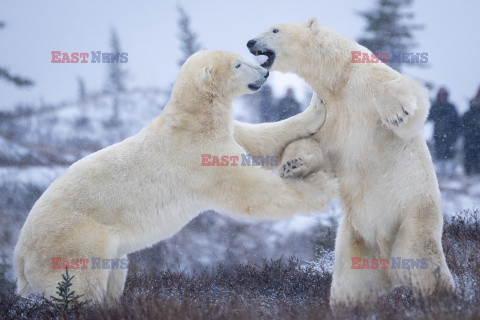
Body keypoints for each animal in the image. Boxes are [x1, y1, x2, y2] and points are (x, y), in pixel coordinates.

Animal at [14, 50, 338, 304]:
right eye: (238, 64)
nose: (265, 71)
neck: (191, 120)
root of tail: (19, 256)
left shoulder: (222, 133)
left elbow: (259, 138)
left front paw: (316, 106)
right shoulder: (200, 157)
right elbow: (252, 192)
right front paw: (323, 184)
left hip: (104, 250)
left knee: (114, 273)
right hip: (75, 242)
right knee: (80, 284)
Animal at [246, 19, 456, 304]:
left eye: (275, 30)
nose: (250, 42)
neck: (338, 81)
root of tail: (385, 252)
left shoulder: (363, 82)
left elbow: (407, 103)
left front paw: (398, 113)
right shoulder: (329, 114)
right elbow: (313, 144)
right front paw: (292, 164)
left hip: (413, 217)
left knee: (422, 263)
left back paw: (441, 295)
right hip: (355, 236)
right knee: (351, 281)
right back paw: (350, 303)